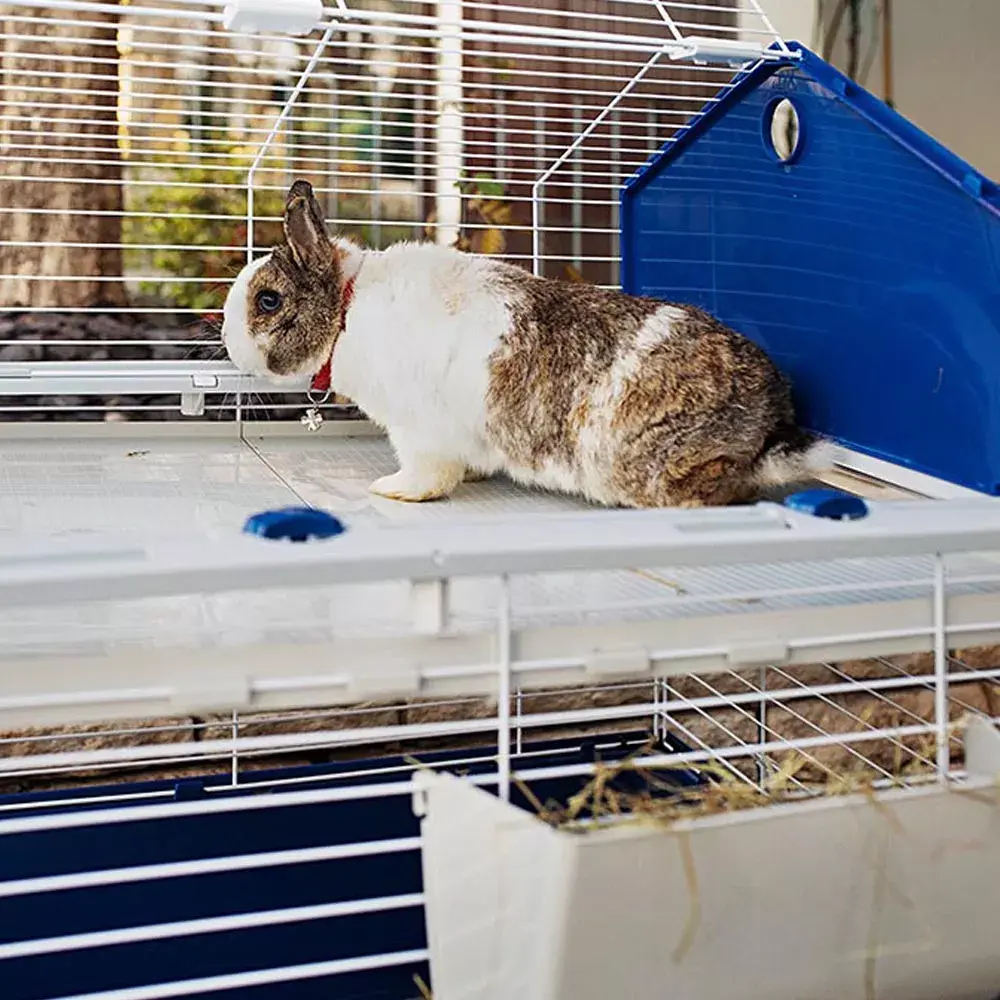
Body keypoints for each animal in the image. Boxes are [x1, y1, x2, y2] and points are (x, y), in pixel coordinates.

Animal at [222, 180, 831, 507]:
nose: (225, 338)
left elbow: (427, 474)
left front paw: (392, 490)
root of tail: (770, 425)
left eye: (268, 301)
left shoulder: (418, 432)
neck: (346, 311)